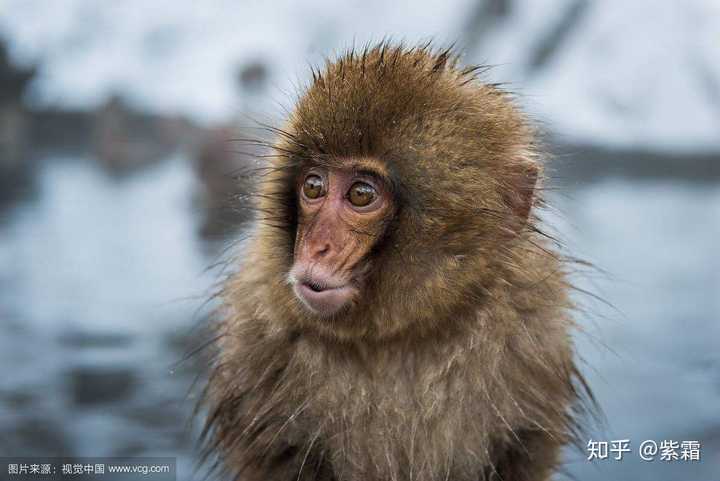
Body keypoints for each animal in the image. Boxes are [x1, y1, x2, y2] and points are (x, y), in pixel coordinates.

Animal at [201, 42, 592, 480]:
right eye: (314, 186)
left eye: (361, 195)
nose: (317, 247)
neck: (397, 333)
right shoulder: (253, 329)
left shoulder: (535, 326)